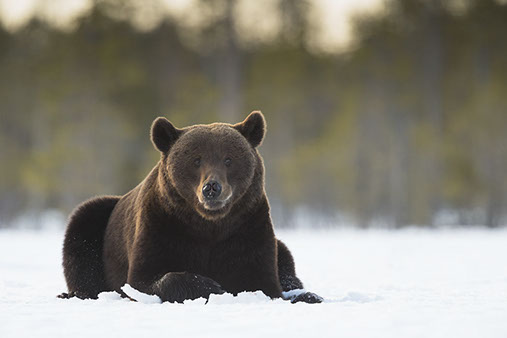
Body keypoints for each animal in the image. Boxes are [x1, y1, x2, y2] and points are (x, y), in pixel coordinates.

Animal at [59, 111, 322, 304]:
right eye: (196, 160)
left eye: (229, 159)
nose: (212, 187)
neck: (209, 224)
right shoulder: (162, 226)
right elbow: (143, 280)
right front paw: (210, 285)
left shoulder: (246, 229)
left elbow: (262, 281)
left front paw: (303, 296)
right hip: (99, 220)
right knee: (82, 236)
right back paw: (76, 293)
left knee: (285, 258)